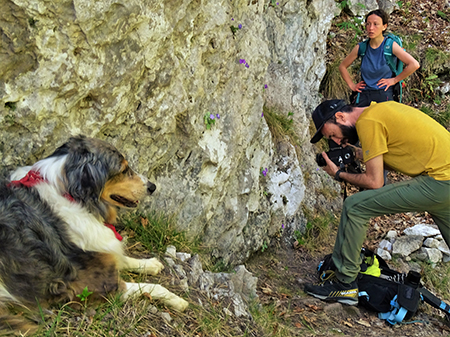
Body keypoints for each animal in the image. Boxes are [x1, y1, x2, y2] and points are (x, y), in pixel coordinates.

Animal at [0, 135, 188, 332]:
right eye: (123, 170)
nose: (152, 187)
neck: (72, 196)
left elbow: (122, 258)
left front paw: (150, 264)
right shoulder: (98, 284)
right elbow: (152, 287)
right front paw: (177, 300)